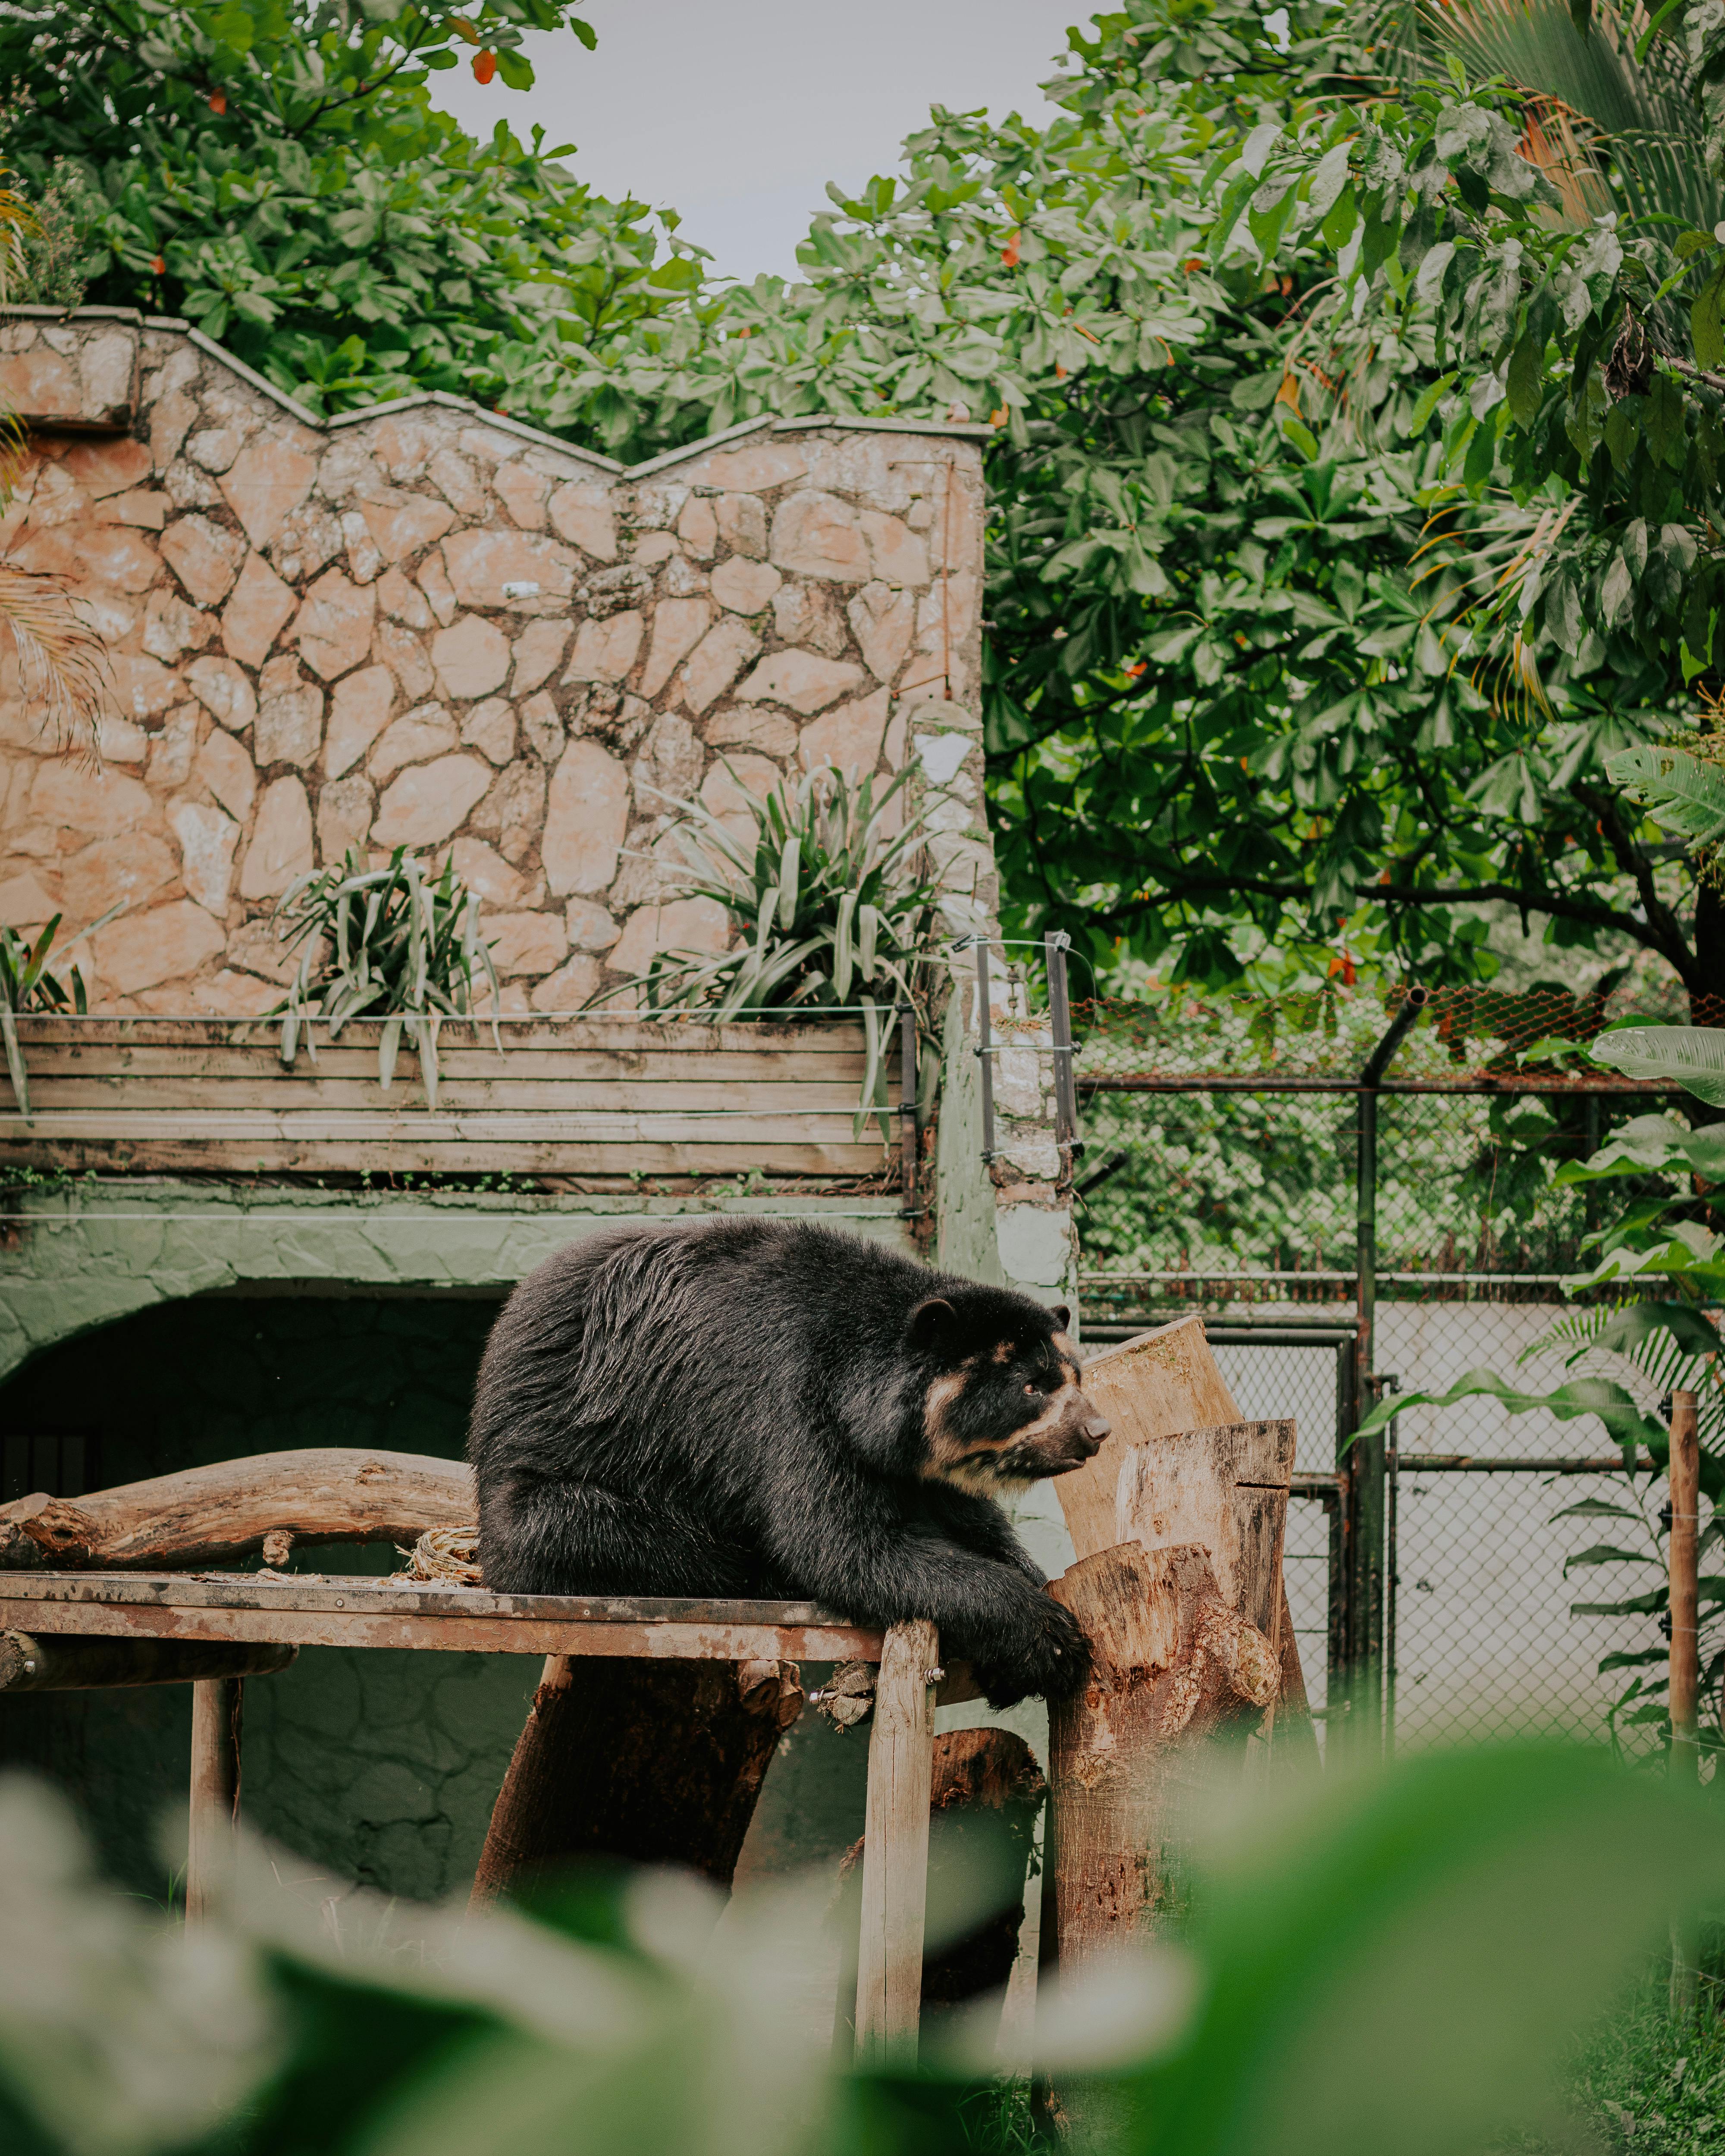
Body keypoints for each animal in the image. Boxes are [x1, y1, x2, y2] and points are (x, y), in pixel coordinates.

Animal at [468, 1225, 1121, 1708]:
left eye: (1076, 1376)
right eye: (1033, 1386)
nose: (1097, 1431)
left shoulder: (907, 1462)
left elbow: (966, 1519)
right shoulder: (786, 1397)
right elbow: (844, 1546)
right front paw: (1049, 1641)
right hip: (549, 1481)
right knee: (604, 1533)